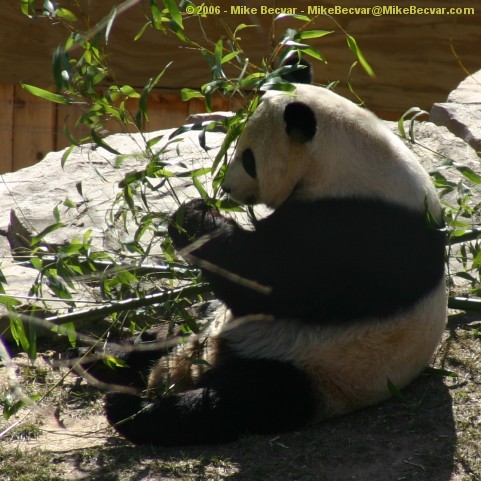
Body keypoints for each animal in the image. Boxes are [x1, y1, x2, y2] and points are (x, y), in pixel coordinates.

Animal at [105, 69, 446, 444]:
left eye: (248, 158)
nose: (227, 188)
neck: (349, 157)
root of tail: (204, 361)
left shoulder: (361, 226)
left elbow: (270, 281)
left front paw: (192, 216)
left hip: (318, 367)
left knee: (236, 403)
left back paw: (130, 408)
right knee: (179, 327)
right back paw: (114, 355)